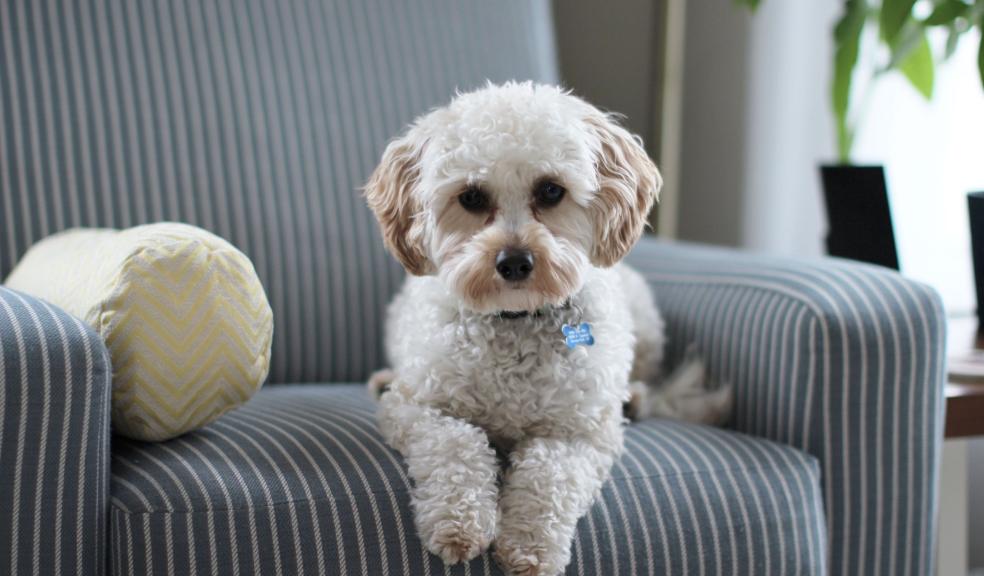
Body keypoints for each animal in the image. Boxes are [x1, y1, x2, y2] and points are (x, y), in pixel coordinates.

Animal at [362, 82, 732, 576]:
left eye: (551, 190)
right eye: (472, 197)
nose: (515, 262)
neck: (516, 320)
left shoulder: (578, 433)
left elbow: (549, 475)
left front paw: (530, 545)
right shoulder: (418, 408)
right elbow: (456, 444)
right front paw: (459, 522)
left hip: (645, 325)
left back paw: (634, 398)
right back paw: (381, 379)